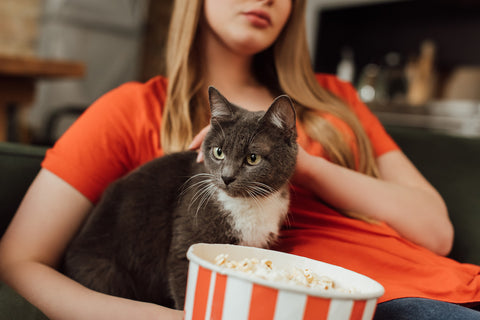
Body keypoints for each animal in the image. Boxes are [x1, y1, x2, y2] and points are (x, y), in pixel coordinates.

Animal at [62, 87, 298, 310]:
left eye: (253, 158)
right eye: (218, 152)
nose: (226, 177)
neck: (249, 204)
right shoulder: (185, 246)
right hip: (107, 272)